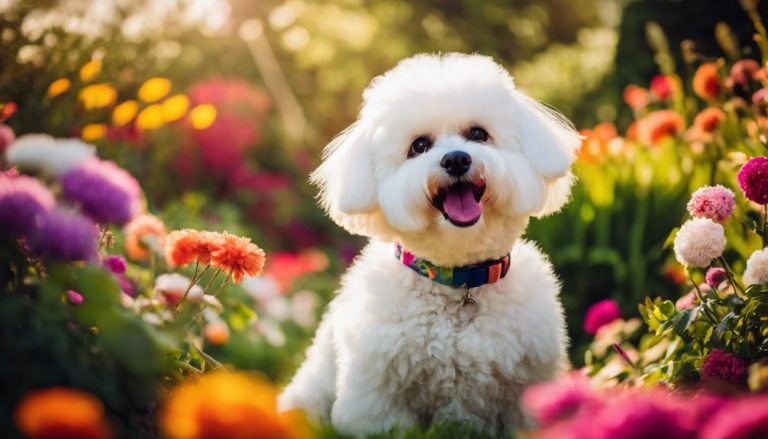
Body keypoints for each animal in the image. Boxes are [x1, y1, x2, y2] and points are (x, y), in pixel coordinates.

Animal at [280, 52, 580, 436]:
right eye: (419, 145)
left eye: (478, 134)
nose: (456, 159)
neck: (457, 282)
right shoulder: (378, 399)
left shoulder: (526, 390)